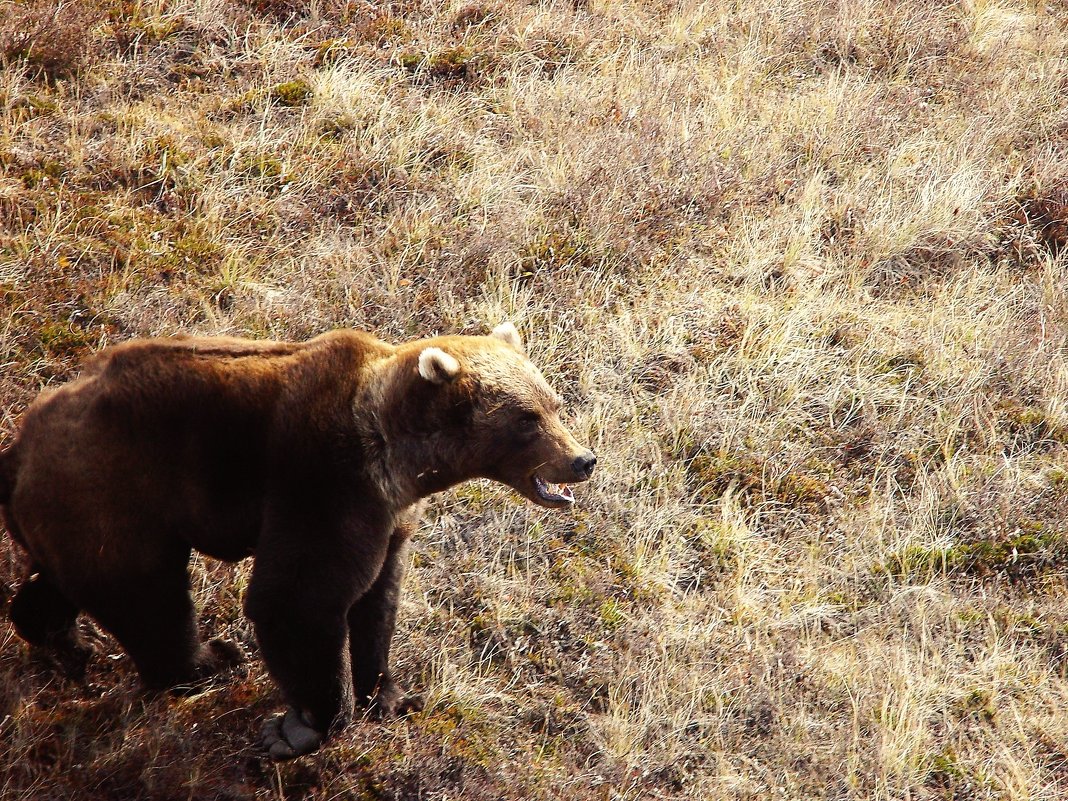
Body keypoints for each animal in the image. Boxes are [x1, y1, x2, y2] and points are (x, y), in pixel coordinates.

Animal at [0, 322, 593, 760]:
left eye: (553, 402)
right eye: (525, 419)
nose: (582, 460)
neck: (401, 458)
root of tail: (19, 444)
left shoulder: (391, 517)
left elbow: (379, 600)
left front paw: (387, 692)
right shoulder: (326, 480)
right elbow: (298, 600)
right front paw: (308, 722)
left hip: (76, 514)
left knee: (67, 584)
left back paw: (65, 643)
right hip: (113, 489)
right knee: (149, 595)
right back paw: (207, 661)